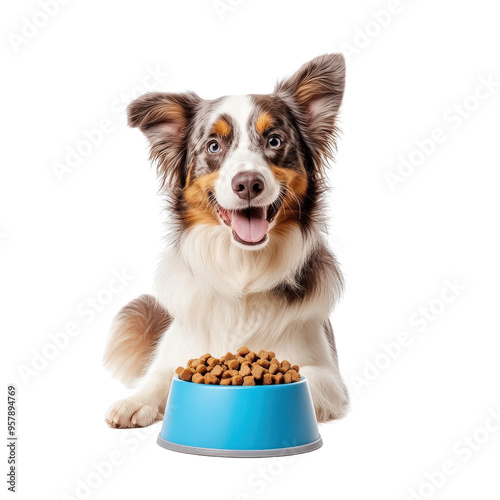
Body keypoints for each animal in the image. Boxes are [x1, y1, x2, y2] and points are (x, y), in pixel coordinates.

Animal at [103, 54, 350, 428]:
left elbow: (306, 375)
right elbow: (161, 374)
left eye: (274, 141)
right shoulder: (177, 348)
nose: (248, 183)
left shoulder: (330, 375)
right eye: (214, 146)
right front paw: (135, 401)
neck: (242, 271)